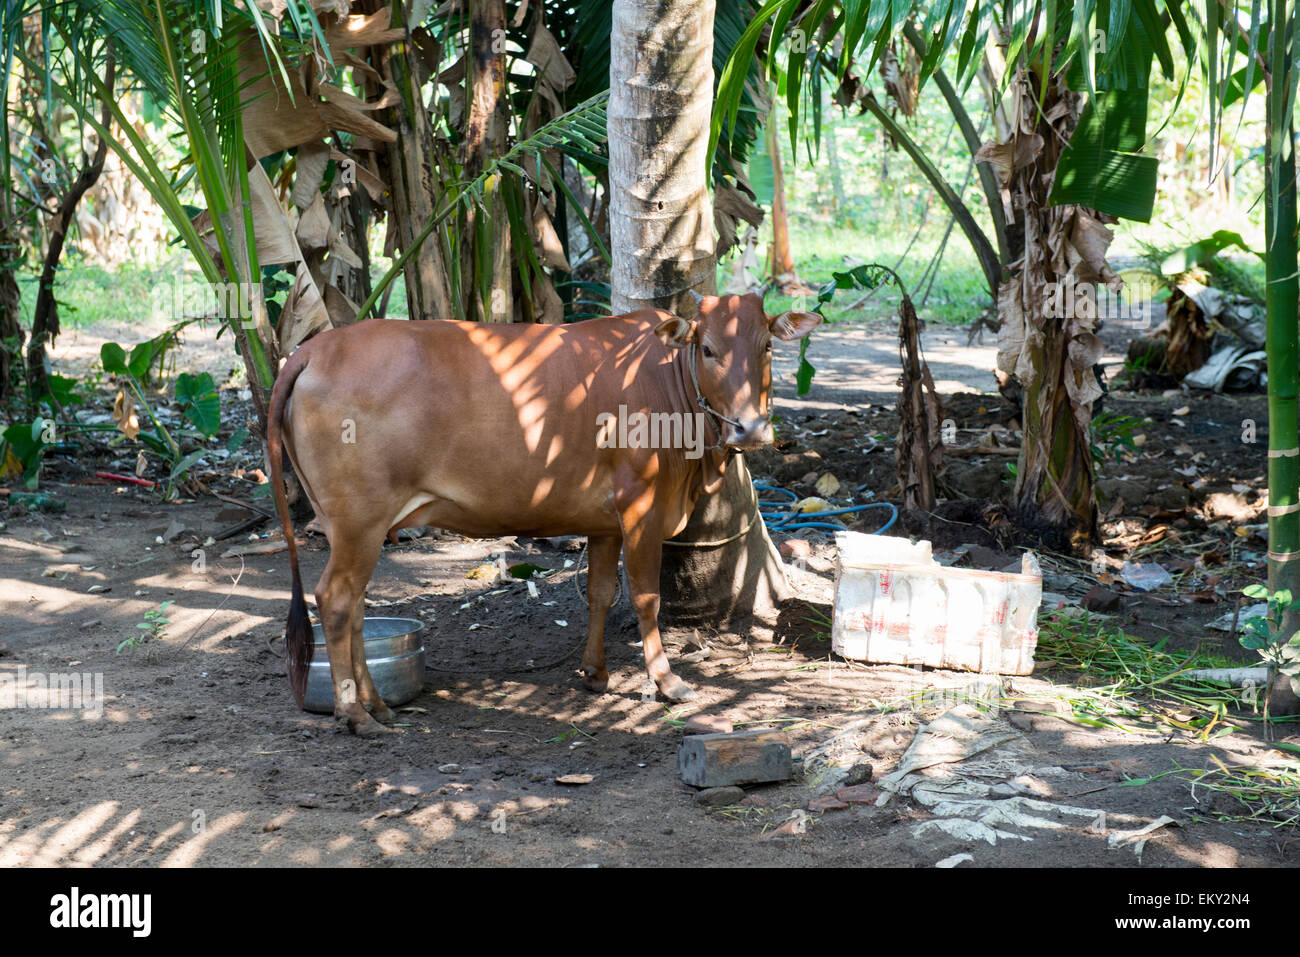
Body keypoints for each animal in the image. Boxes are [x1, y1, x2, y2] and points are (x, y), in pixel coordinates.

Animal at [267, 289, 816, 733]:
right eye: (707, 349)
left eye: (767, 347)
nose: (751, 428)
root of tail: (314, 348)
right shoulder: (641, 505)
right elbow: (645, 597)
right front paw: (667, 682)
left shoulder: (604, 519)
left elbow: (600, 593)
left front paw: (595, 672)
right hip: (358, 518)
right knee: (336, 599)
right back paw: (354, 713)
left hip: (352, 525)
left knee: (357, 606)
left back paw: (378, 705)